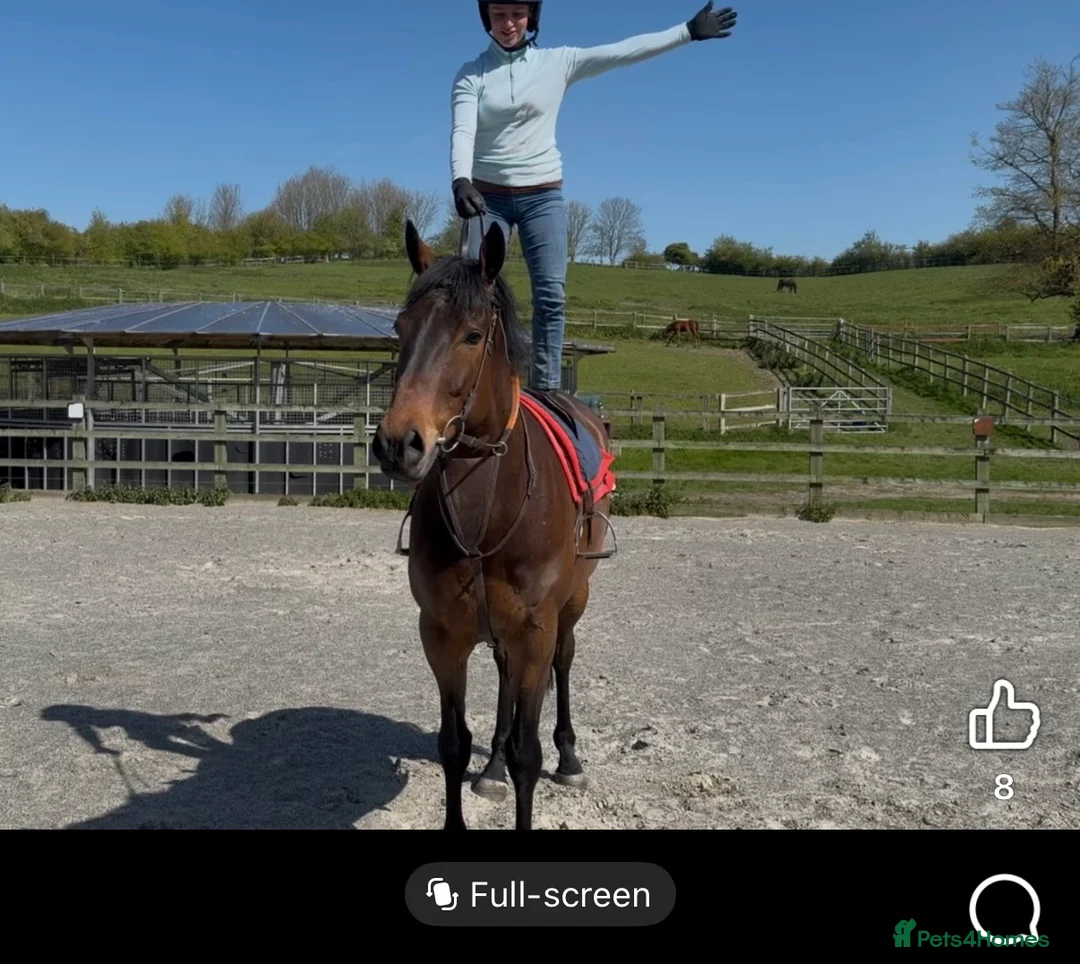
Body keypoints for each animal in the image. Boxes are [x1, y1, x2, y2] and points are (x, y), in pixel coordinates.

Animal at [371, 219, 617, 831]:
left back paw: (569, 757)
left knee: (565, 661)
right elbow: (453, 744)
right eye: (401, 328)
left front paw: (538, 760)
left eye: (472, 335)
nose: (398, 443)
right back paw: (493, 770)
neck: (488, 512)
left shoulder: (535, 630)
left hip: (573, 602)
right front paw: (483, 770)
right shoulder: (441, 634)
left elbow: (529, 753)